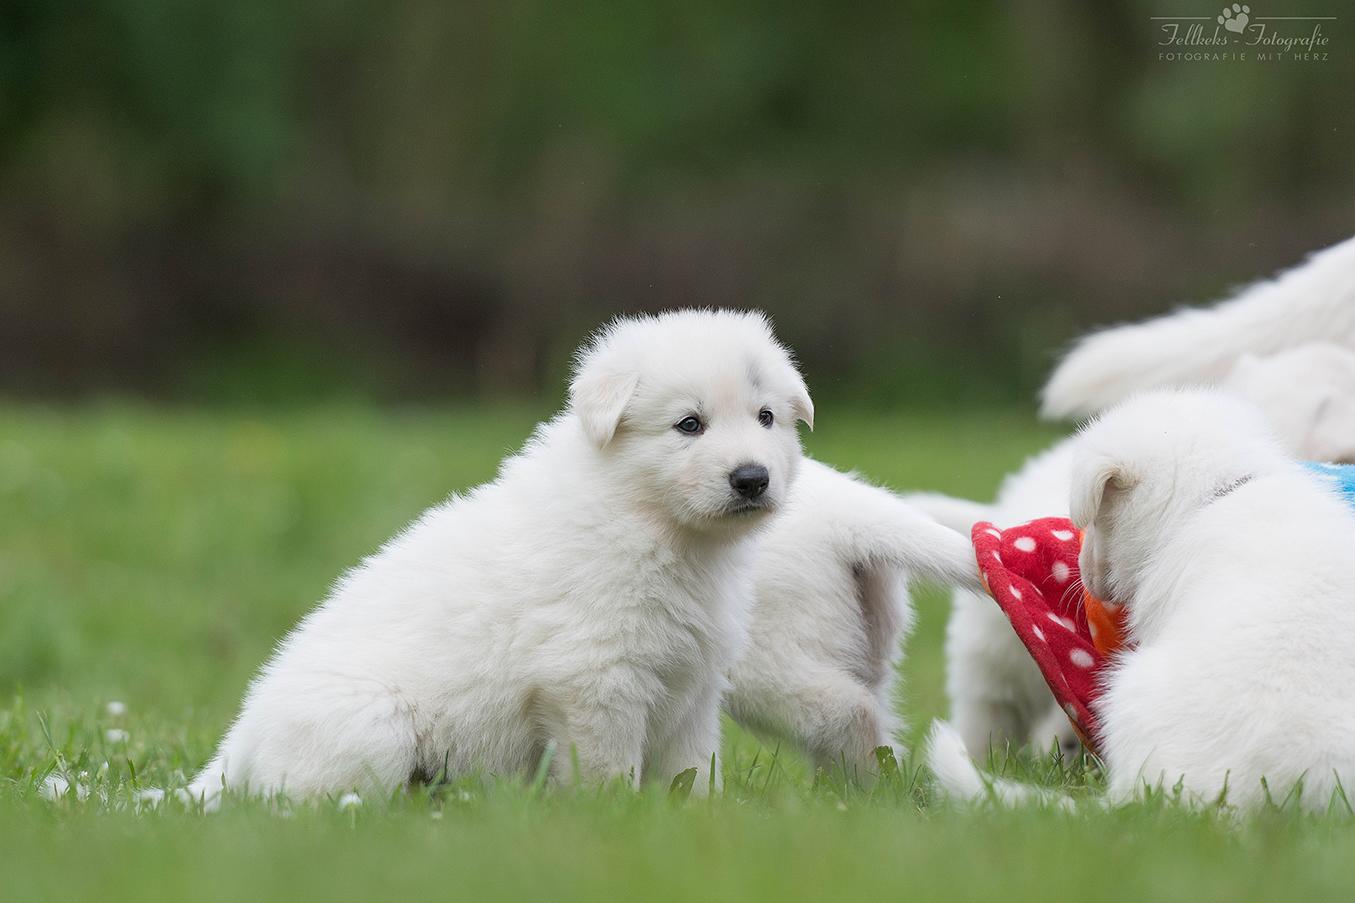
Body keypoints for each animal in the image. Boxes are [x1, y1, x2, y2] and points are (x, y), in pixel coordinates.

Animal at [188, 309, 812, 805]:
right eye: (689, 424)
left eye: (766, 417)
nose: (752, 479)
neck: (651, 520)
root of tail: (234, 750)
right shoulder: (593, 678)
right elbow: (605, 767)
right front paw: (613, 817)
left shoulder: (694, 686)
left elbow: (694, 769)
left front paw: (699, 817)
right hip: (373, 725)